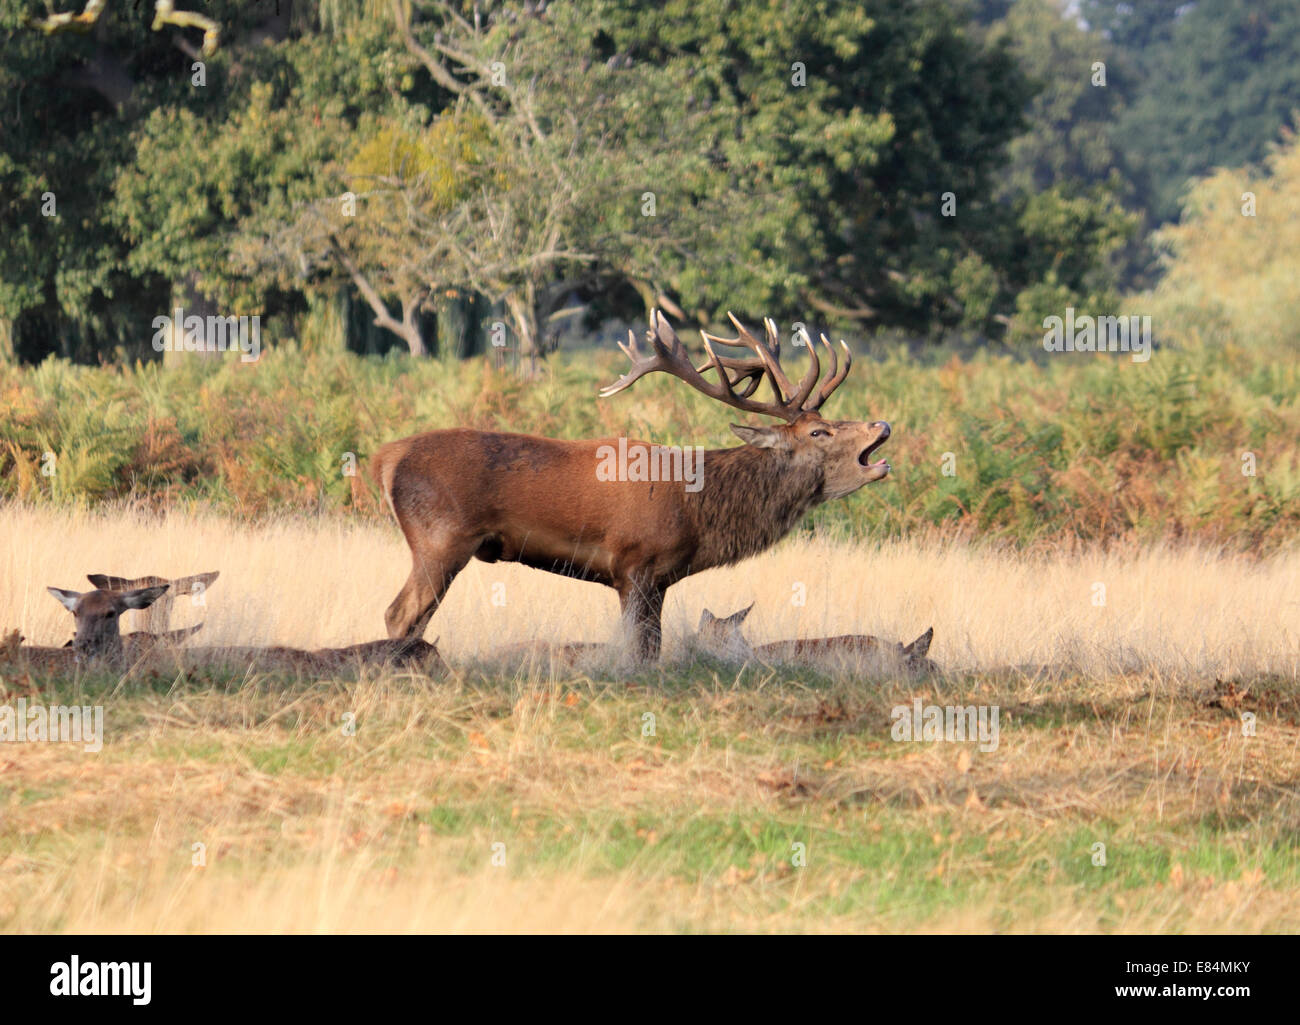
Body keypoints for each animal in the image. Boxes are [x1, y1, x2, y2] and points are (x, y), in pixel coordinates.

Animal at [371, 311, 892, 663]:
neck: (697, 512)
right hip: (440, 539)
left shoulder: (658, 580)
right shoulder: (635, 565)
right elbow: (641, 651)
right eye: (819, 432)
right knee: (400, 613)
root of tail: (385, 458)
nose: (882, 424)